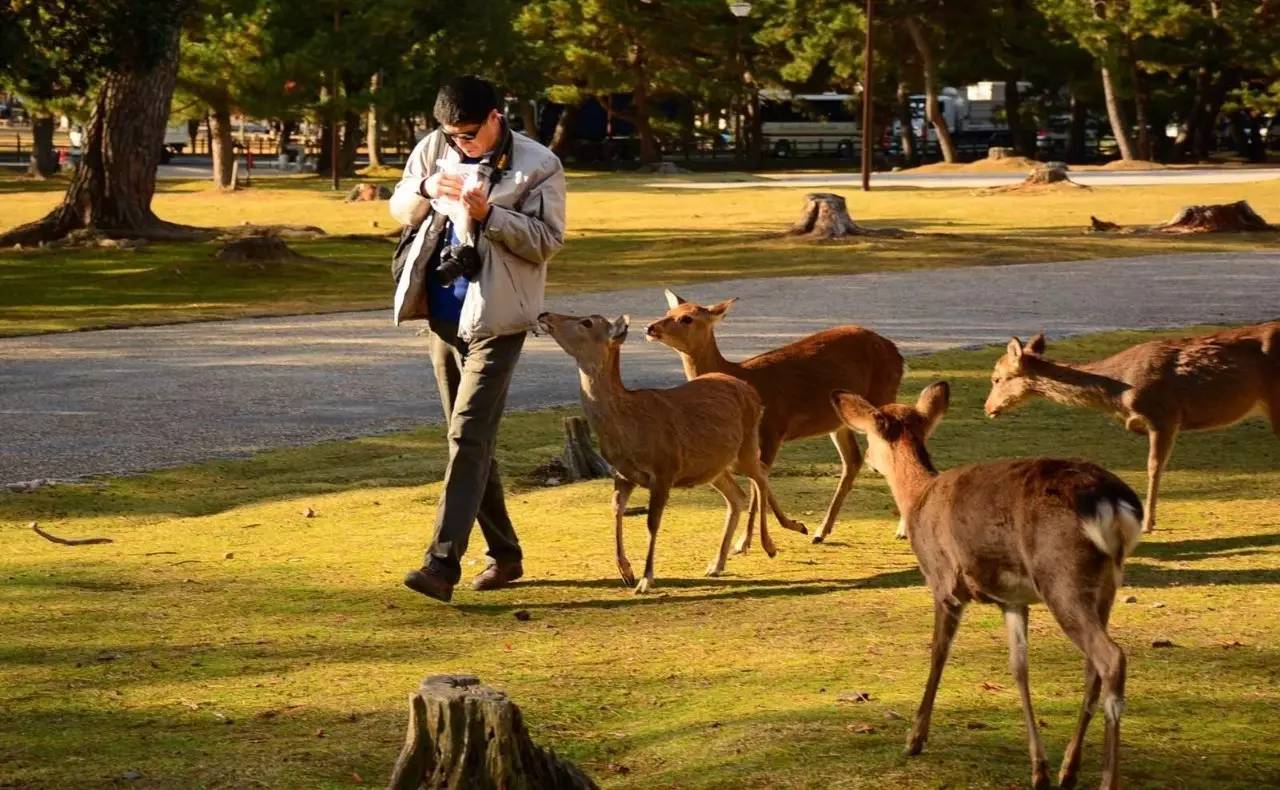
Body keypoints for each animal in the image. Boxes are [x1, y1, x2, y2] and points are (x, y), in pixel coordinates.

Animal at [535, 308, 783, 591]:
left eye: (586, 322)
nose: (544, 314)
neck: (627, 427)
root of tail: (752, 392)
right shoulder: (622, 473)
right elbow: (616, 509)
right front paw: (626, 572)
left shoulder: (665, 467)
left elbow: (652, 522)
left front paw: (646, 579)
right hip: (713, 465)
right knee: (737, 495)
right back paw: (717, 564)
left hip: (745, 446)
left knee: (761, 476)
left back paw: (770, 545)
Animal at [645, 289, 906, 548]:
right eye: (668, 311)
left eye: (687, 318)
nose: (650, 327)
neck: (740, 374)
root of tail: (896, 351)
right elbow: (759, 480)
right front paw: (796, 526)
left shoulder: (773, 428)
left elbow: (757, 483)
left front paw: (744, 542)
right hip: (839, 419)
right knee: (852, 460)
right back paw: (821, 531)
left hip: (883, 394)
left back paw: (902, 530)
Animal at [834, 381, 1146, 788]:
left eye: (868, 436)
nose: (870, 460)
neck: (917, 496)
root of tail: (1115, 503)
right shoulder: (1012, 599)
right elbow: (1019, 668)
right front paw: (1039, 768)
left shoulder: (943, 581)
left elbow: (938, 652)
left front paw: (914, 738)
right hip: (1107, 582)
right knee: (1092, 665)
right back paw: (1069, 768)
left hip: (1061, 574)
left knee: (1111, 657)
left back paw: (1106, 779)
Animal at [983, 320, 1274, 530]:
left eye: (997, 378)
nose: (987, 408)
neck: (1120, 392)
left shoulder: (1165, 415)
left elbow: (1154, 466)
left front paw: (1148, 523)